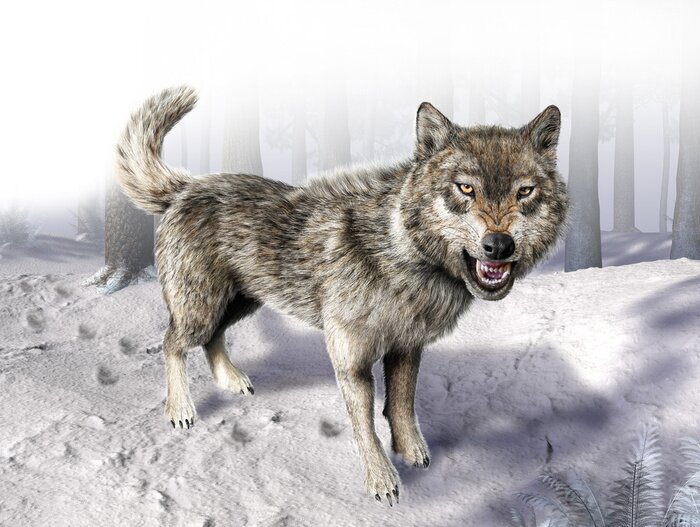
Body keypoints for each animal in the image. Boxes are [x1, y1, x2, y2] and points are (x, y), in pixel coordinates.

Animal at [116, 86, 568, 504]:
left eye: (525, 192)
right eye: (466, 189)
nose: (499, 245)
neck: (401, 254)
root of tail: (185, 186)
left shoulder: (407, 346)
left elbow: (401, 405)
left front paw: (412, 452)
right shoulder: (350, 359)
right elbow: (365, 424)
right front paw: (382, 480)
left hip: (240, 303)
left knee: (212, 339)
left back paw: (232, 381)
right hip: (201, 307)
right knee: (171, 343)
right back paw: (180, 411)